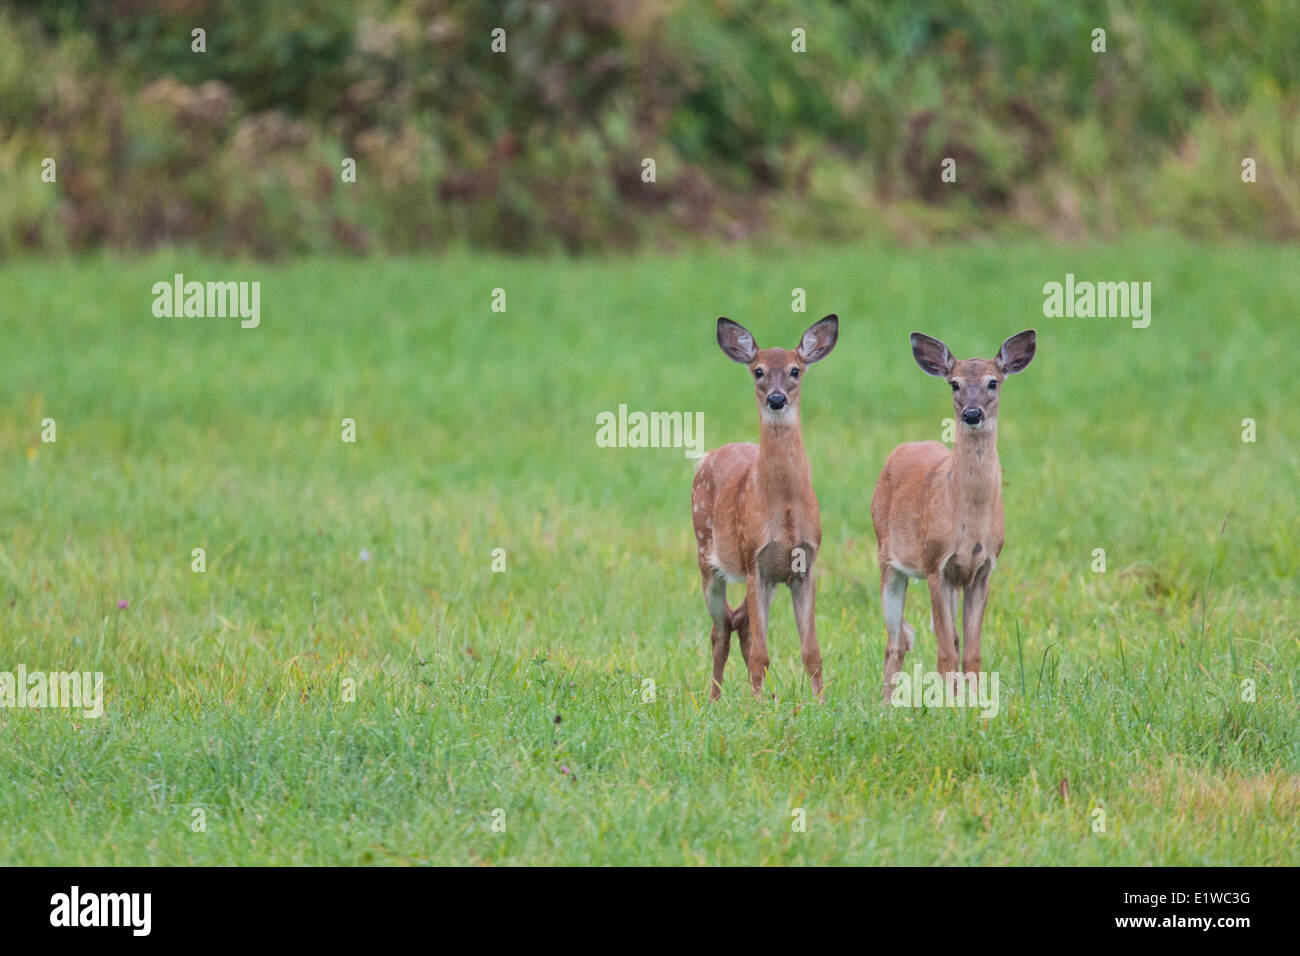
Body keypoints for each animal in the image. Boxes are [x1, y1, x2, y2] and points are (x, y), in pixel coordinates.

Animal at [696, 317, 837, 697]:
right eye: (758, 370)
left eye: (795, 370)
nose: (776, 398)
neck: (784, 506)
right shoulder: (753, 559)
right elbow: (761, 653)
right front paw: (757, 705)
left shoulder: (805, 562)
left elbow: (812, 651)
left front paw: (819, 702)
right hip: (707, 557)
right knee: (719, 629)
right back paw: (714, 699)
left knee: (739, 621)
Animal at [868, 332, 1040, 697]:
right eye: (954, 384)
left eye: (993, 382)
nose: (972, 414)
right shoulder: (936, 564)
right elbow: (945, 653)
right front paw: (947, 704)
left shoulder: (983, 568)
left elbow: (971, 651)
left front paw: (972, 702)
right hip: (887, 560)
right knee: (897, 640)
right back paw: (886, 702)